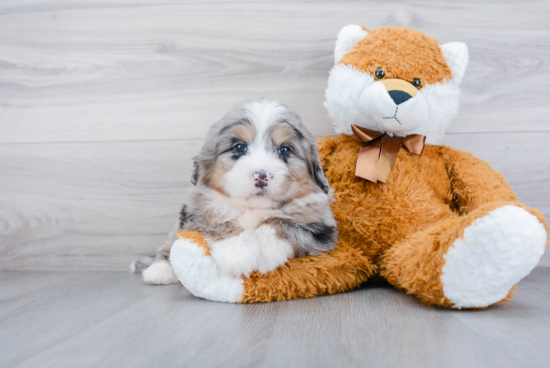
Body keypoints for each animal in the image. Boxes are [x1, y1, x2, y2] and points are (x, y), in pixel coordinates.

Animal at [133, 98, 340, 284]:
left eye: (285, 150)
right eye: (240, 147)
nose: (261, 175)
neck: (252, 208)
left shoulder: (319, 226)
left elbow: (280, 222)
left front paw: (263, 255)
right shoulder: (197, 212)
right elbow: (219, 222)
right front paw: (236, 253)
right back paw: (159, 270)